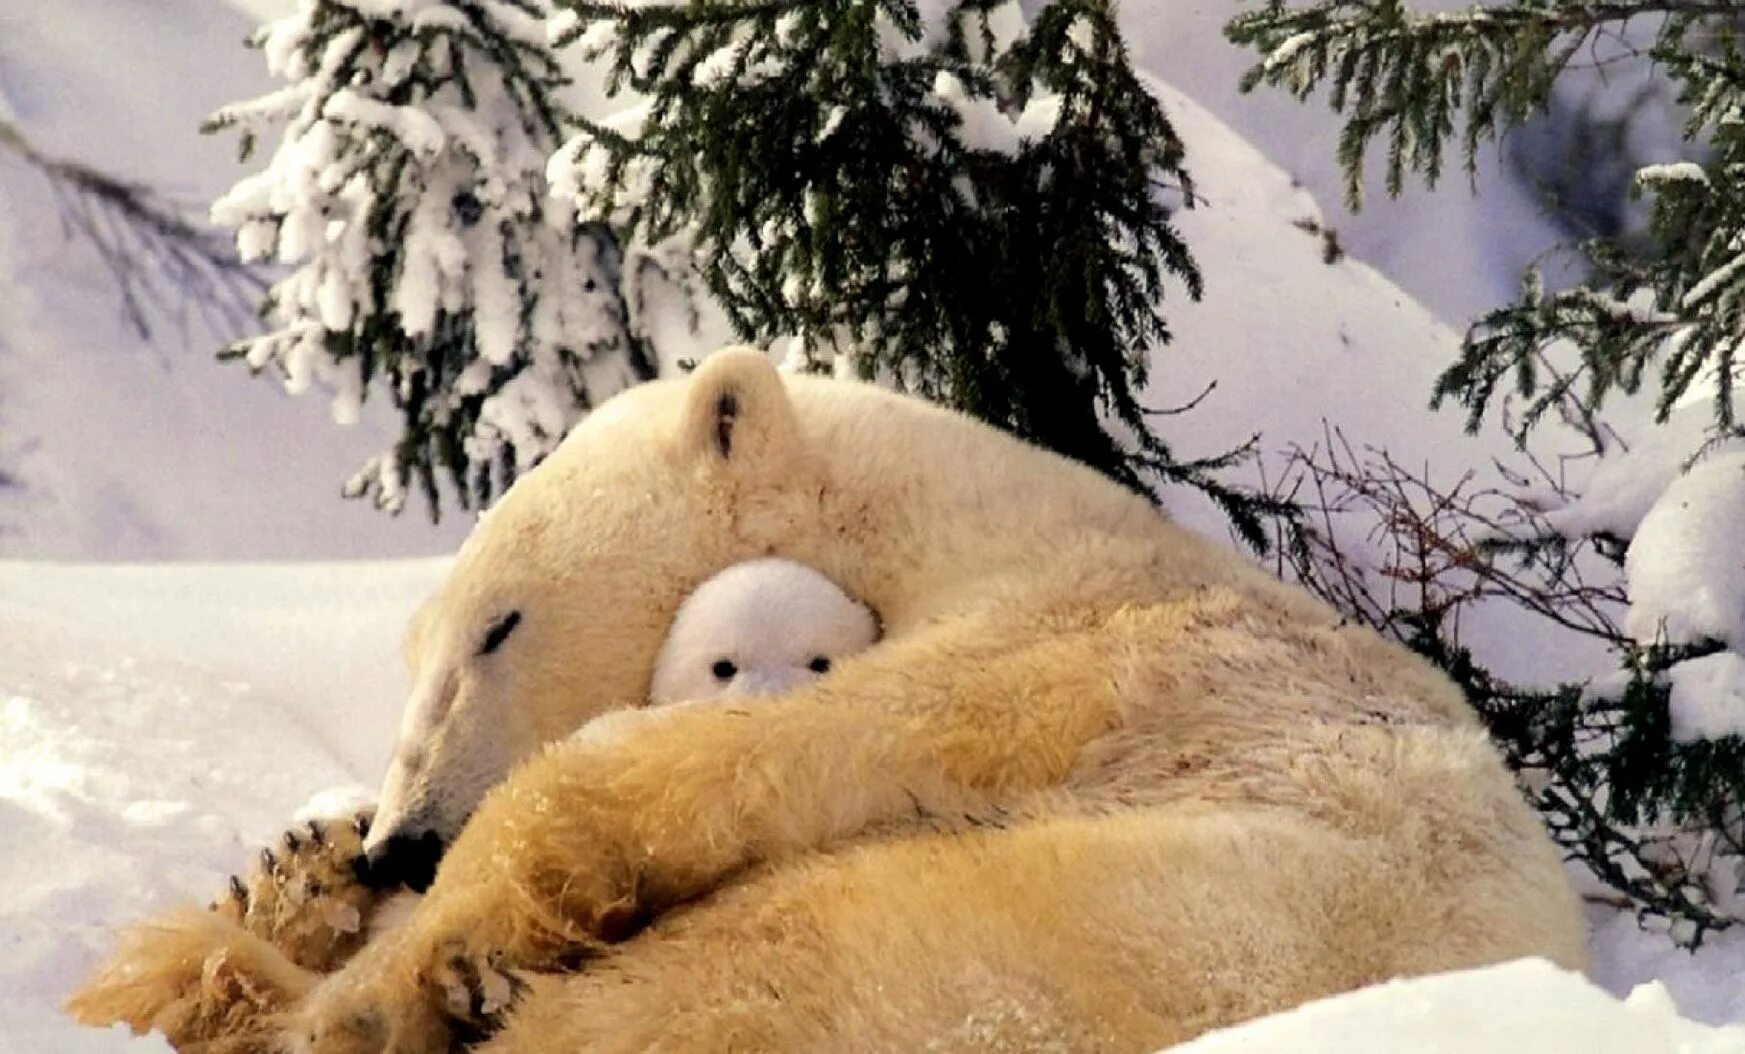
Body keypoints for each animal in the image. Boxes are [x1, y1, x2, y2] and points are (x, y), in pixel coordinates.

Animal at [64, 352, 1584, 1054]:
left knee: (722, 972)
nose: (404, 840)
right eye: (414, 652)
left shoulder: (1078, 650)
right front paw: (305, 869)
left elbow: (726, 760)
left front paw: (415, 960)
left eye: (497, 626)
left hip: (1021, 943)